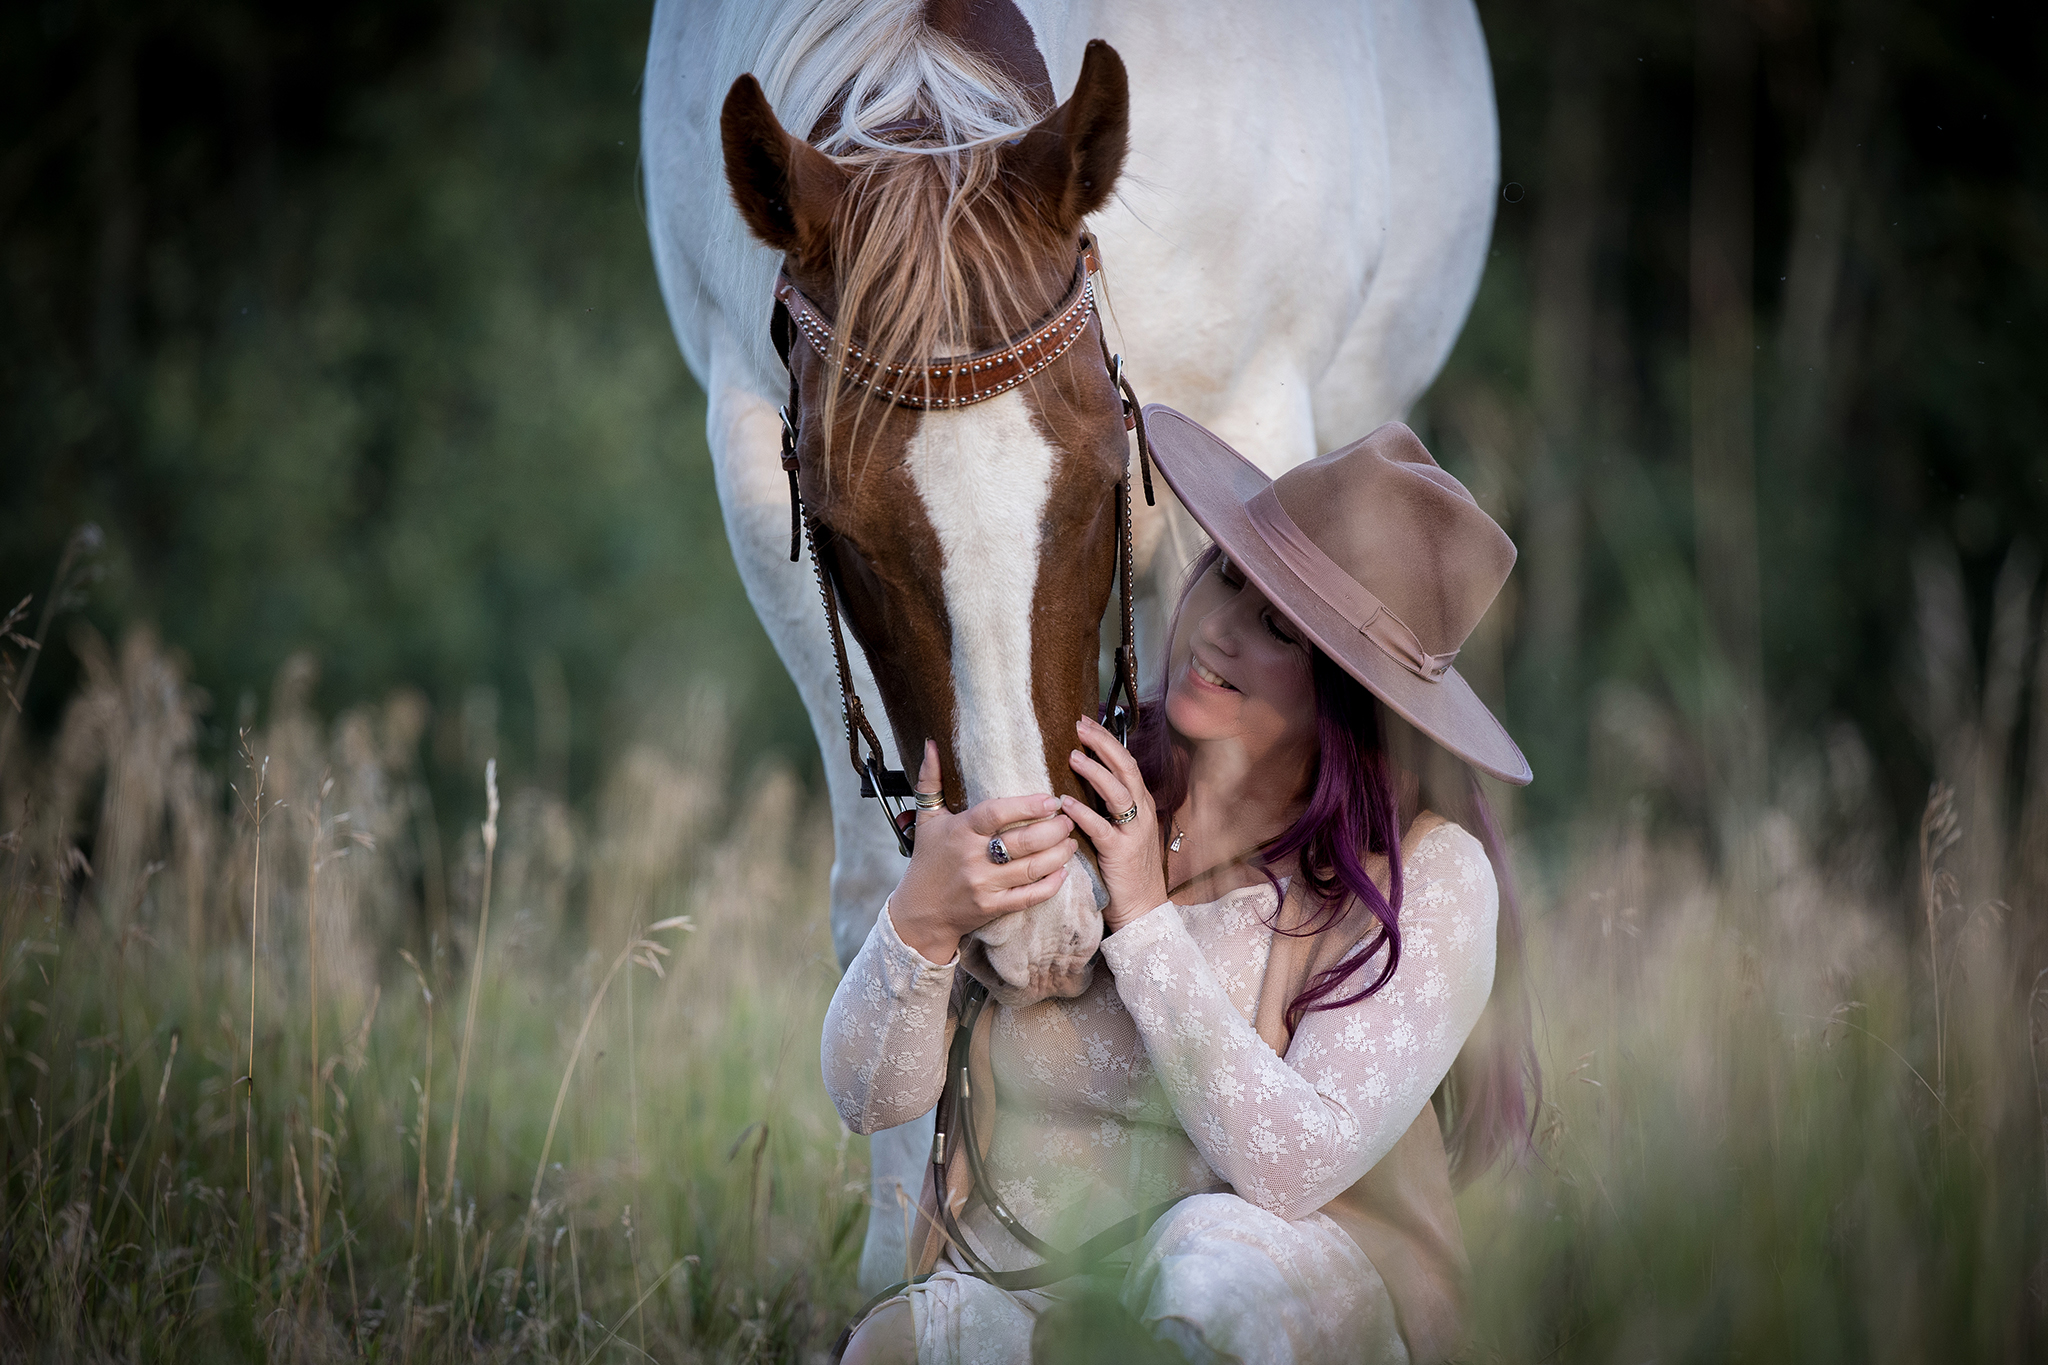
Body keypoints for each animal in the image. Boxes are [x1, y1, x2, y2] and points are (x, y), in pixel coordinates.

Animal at [634, 0, 1490, 1293]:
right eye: (838, 530)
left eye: (1100, 485)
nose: (1031, 928)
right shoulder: (748, 454)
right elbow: (871, 887)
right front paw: (906, 1252)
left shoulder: (1244, 421)